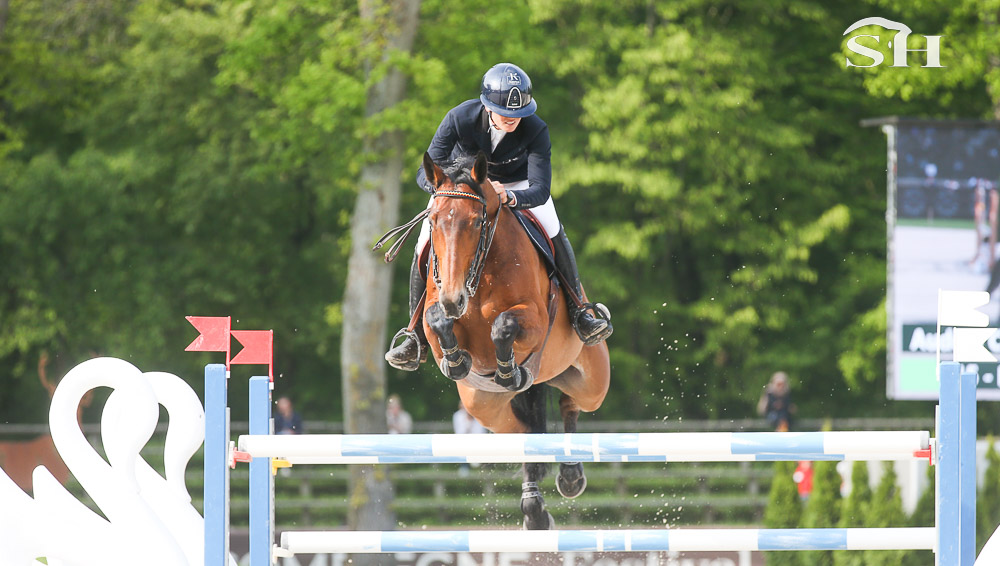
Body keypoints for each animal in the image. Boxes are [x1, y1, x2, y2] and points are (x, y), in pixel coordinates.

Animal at [414, 152, 608, 532]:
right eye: (433, 220)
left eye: (477, 222)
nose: (454, 299)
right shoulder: (435, 312)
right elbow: (435, 321)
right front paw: (456, 360)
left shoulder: (534, 319)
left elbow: (503, 326)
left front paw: (507, 370)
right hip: (482, 407)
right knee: (525, 433)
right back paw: (535, 510)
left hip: (592, 382)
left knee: (571, 404)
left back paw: (569, 475)